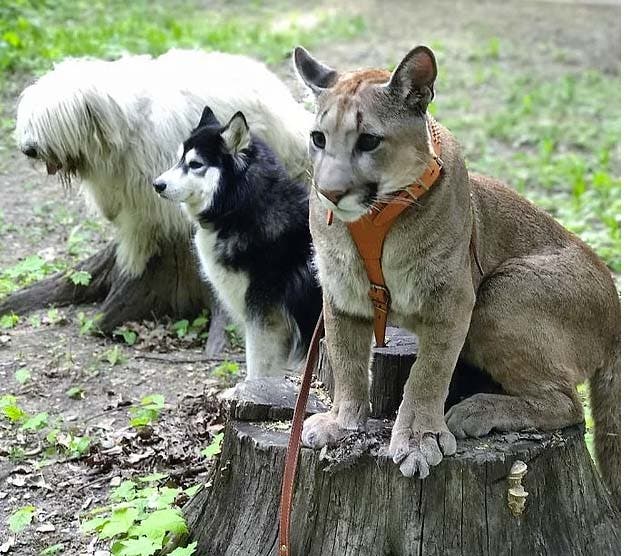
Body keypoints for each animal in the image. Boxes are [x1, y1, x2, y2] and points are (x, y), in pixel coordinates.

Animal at [15, 50, 312, 276]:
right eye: (30, 118)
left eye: (51, 120)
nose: (28, 149)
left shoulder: (147, 186)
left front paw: (133, 257)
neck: (121, 124)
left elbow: (139, 221)